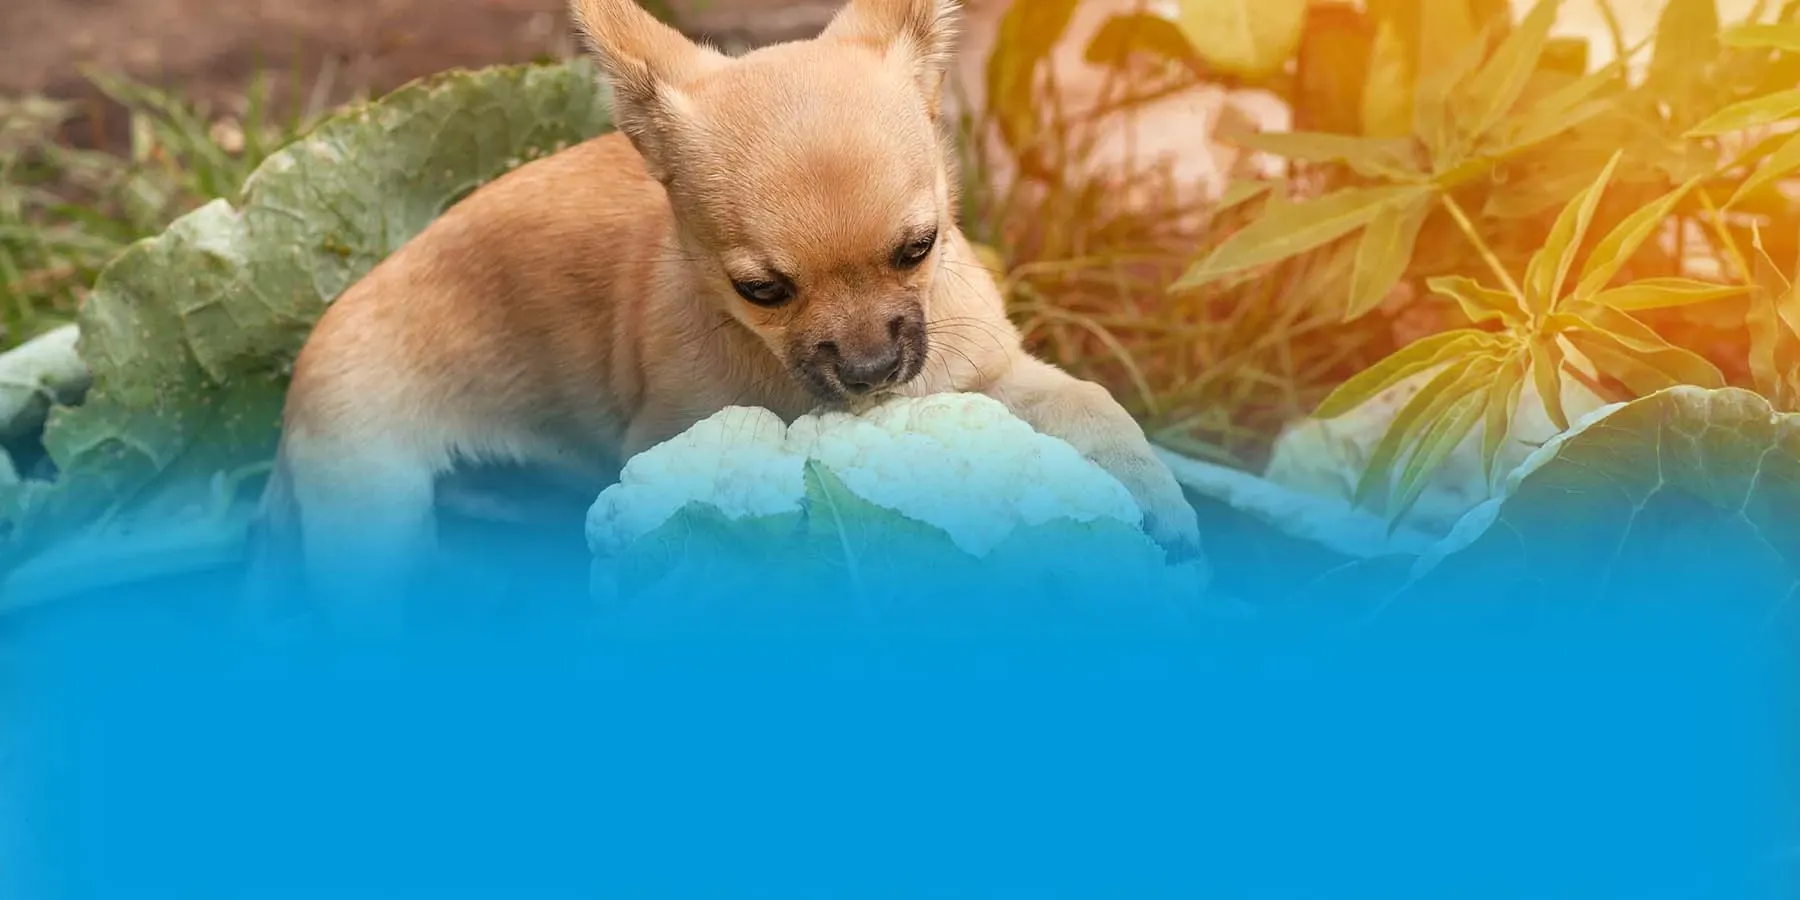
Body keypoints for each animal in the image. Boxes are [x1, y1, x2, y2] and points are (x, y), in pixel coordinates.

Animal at [253, 0, 1202, 604]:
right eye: (763, 291)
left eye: (919, 248)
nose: (872, 370)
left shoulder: (986, 373)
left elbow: (1086, 400)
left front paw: (1153, 490)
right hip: (373, 522)